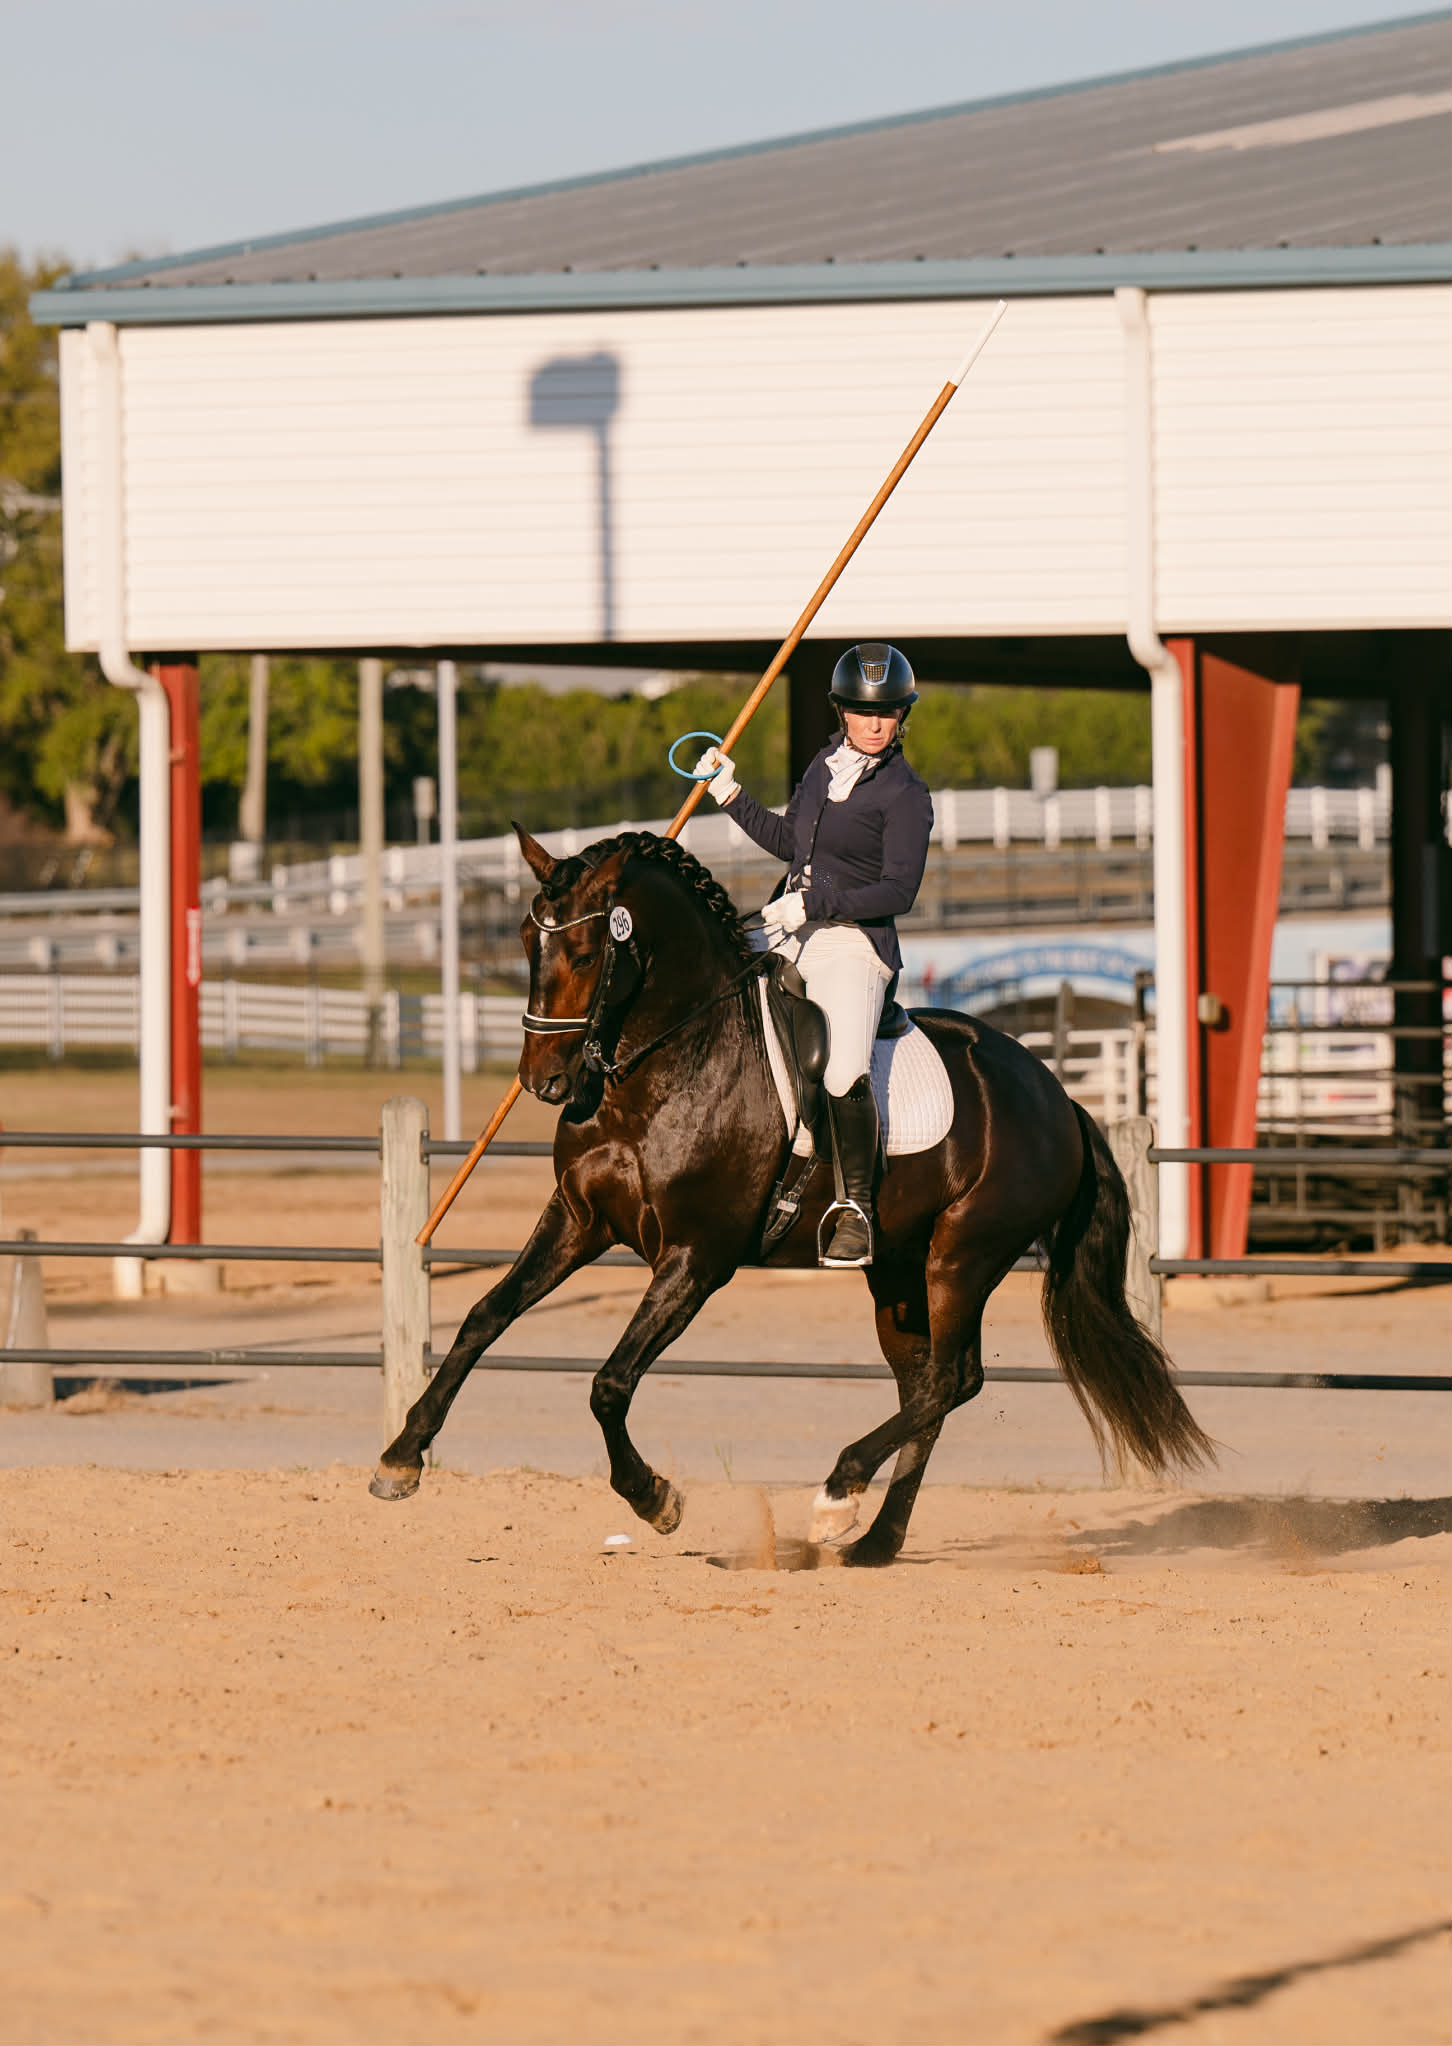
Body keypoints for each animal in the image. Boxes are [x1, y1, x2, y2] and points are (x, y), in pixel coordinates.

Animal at [369, 826, 1213, 1565]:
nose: (543, 1082)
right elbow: (483, 1319)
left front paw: (655, 1499)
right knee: (928, 1386)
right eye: (523, 940)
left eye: (583, 951)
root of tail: (1055, 1094)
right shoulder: (579, 1221)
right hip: (896, 1271)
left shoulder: (696, 1261)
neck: (664, 1066)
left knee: (952, 1379)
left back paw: (839, 1494)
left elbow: (609, 1384)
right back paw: (874, 1540)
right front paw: (402, 1458)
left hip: (962, 1256)